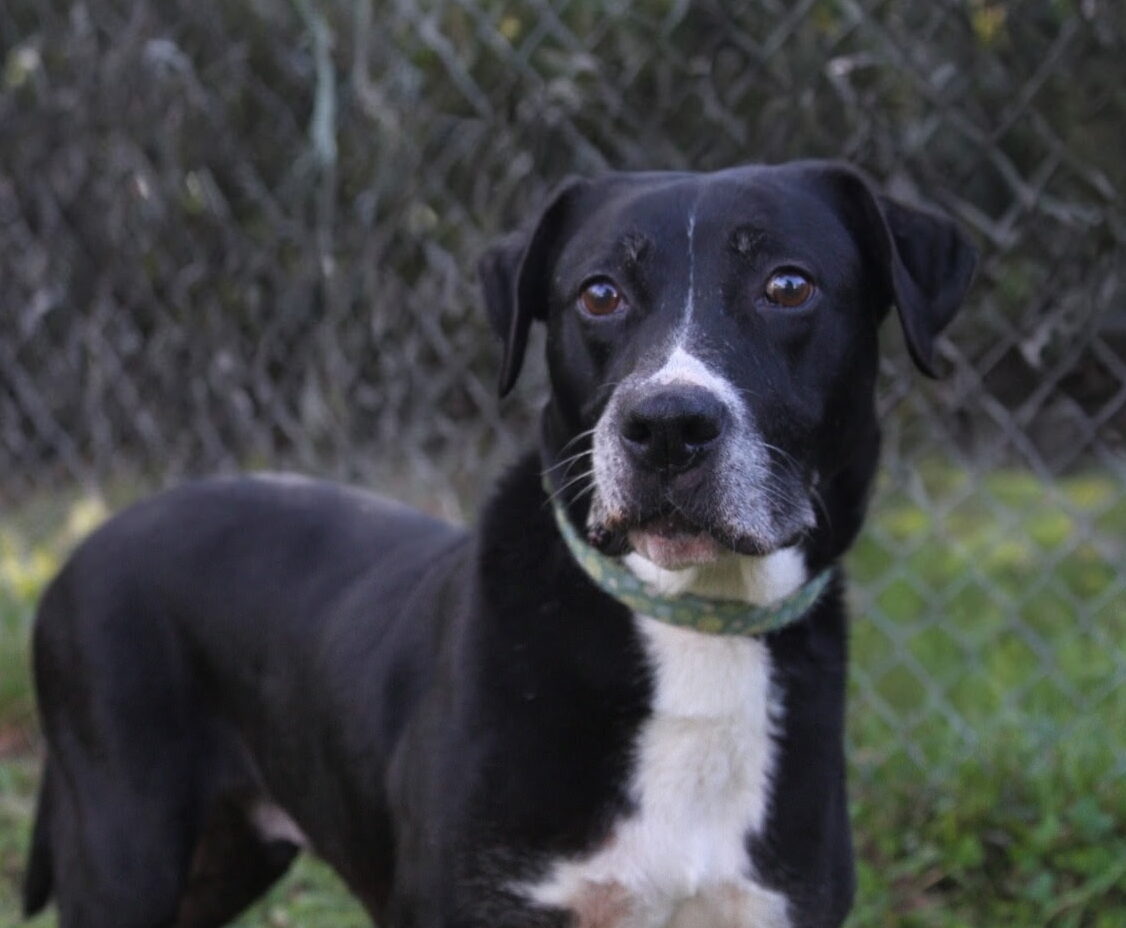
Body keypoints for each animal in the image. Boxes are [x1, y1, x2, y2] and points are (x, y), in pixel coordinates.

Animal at [23, 160, 975, 928]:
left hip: (220, 858)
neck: (692, 623)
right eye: (599, 292)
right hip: (124, 843)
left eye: (788, 285)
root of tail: (86, 542)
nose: (667, 427)